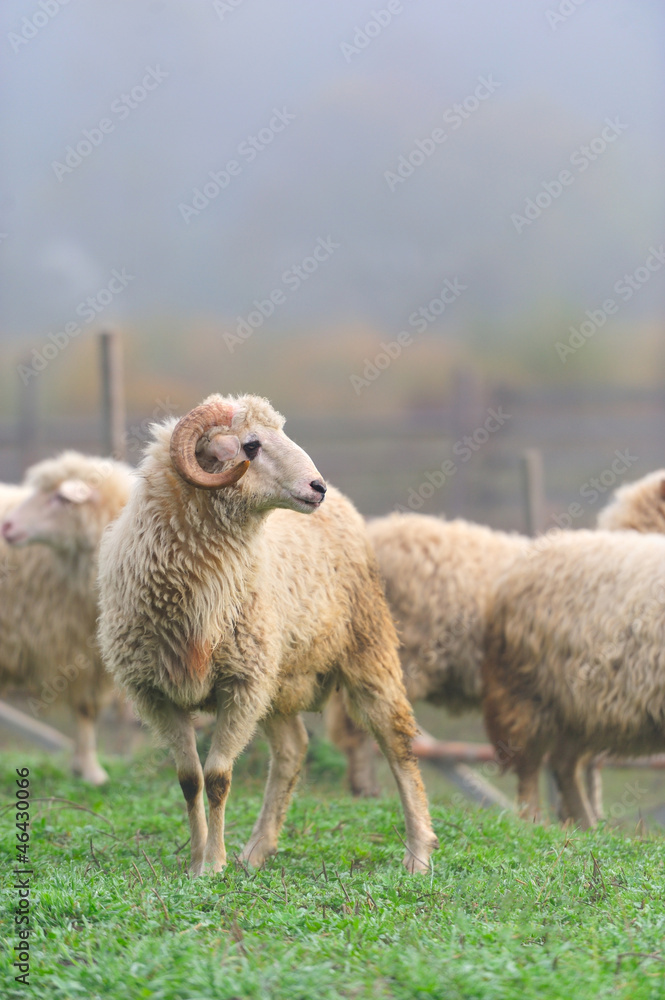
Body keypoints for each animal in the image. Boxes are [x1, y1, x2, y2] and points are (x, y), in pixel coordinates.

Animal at [0, 452, 134, 784]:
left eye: (61, 498)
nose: (6, 526)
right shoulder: (71, 648)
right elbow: (83, 709)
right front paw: (90, 769)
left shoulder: (93, 656)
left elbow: (87, 710)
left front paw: (85, 768)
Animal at [97, 395, 438, 876]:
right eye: (251, 445)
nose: (317, 487)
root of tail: (345, 505)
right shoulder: (157, 694)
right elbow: (189, 779)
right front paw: (197, 860)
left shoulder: (239, 685)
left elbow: (218, 778)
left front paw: (213, 865)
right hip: (277, 678)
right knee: (293, 749)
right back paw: (257, 849)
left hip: (367, 650)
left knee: (398, 743)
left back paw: (419, 854)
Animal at [482, 528, 665, 829]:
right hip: (529, 694)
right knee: (530, 764)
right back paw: (533, 822)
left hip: (578, 713)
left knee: (563, 764)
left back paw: (586, 826)